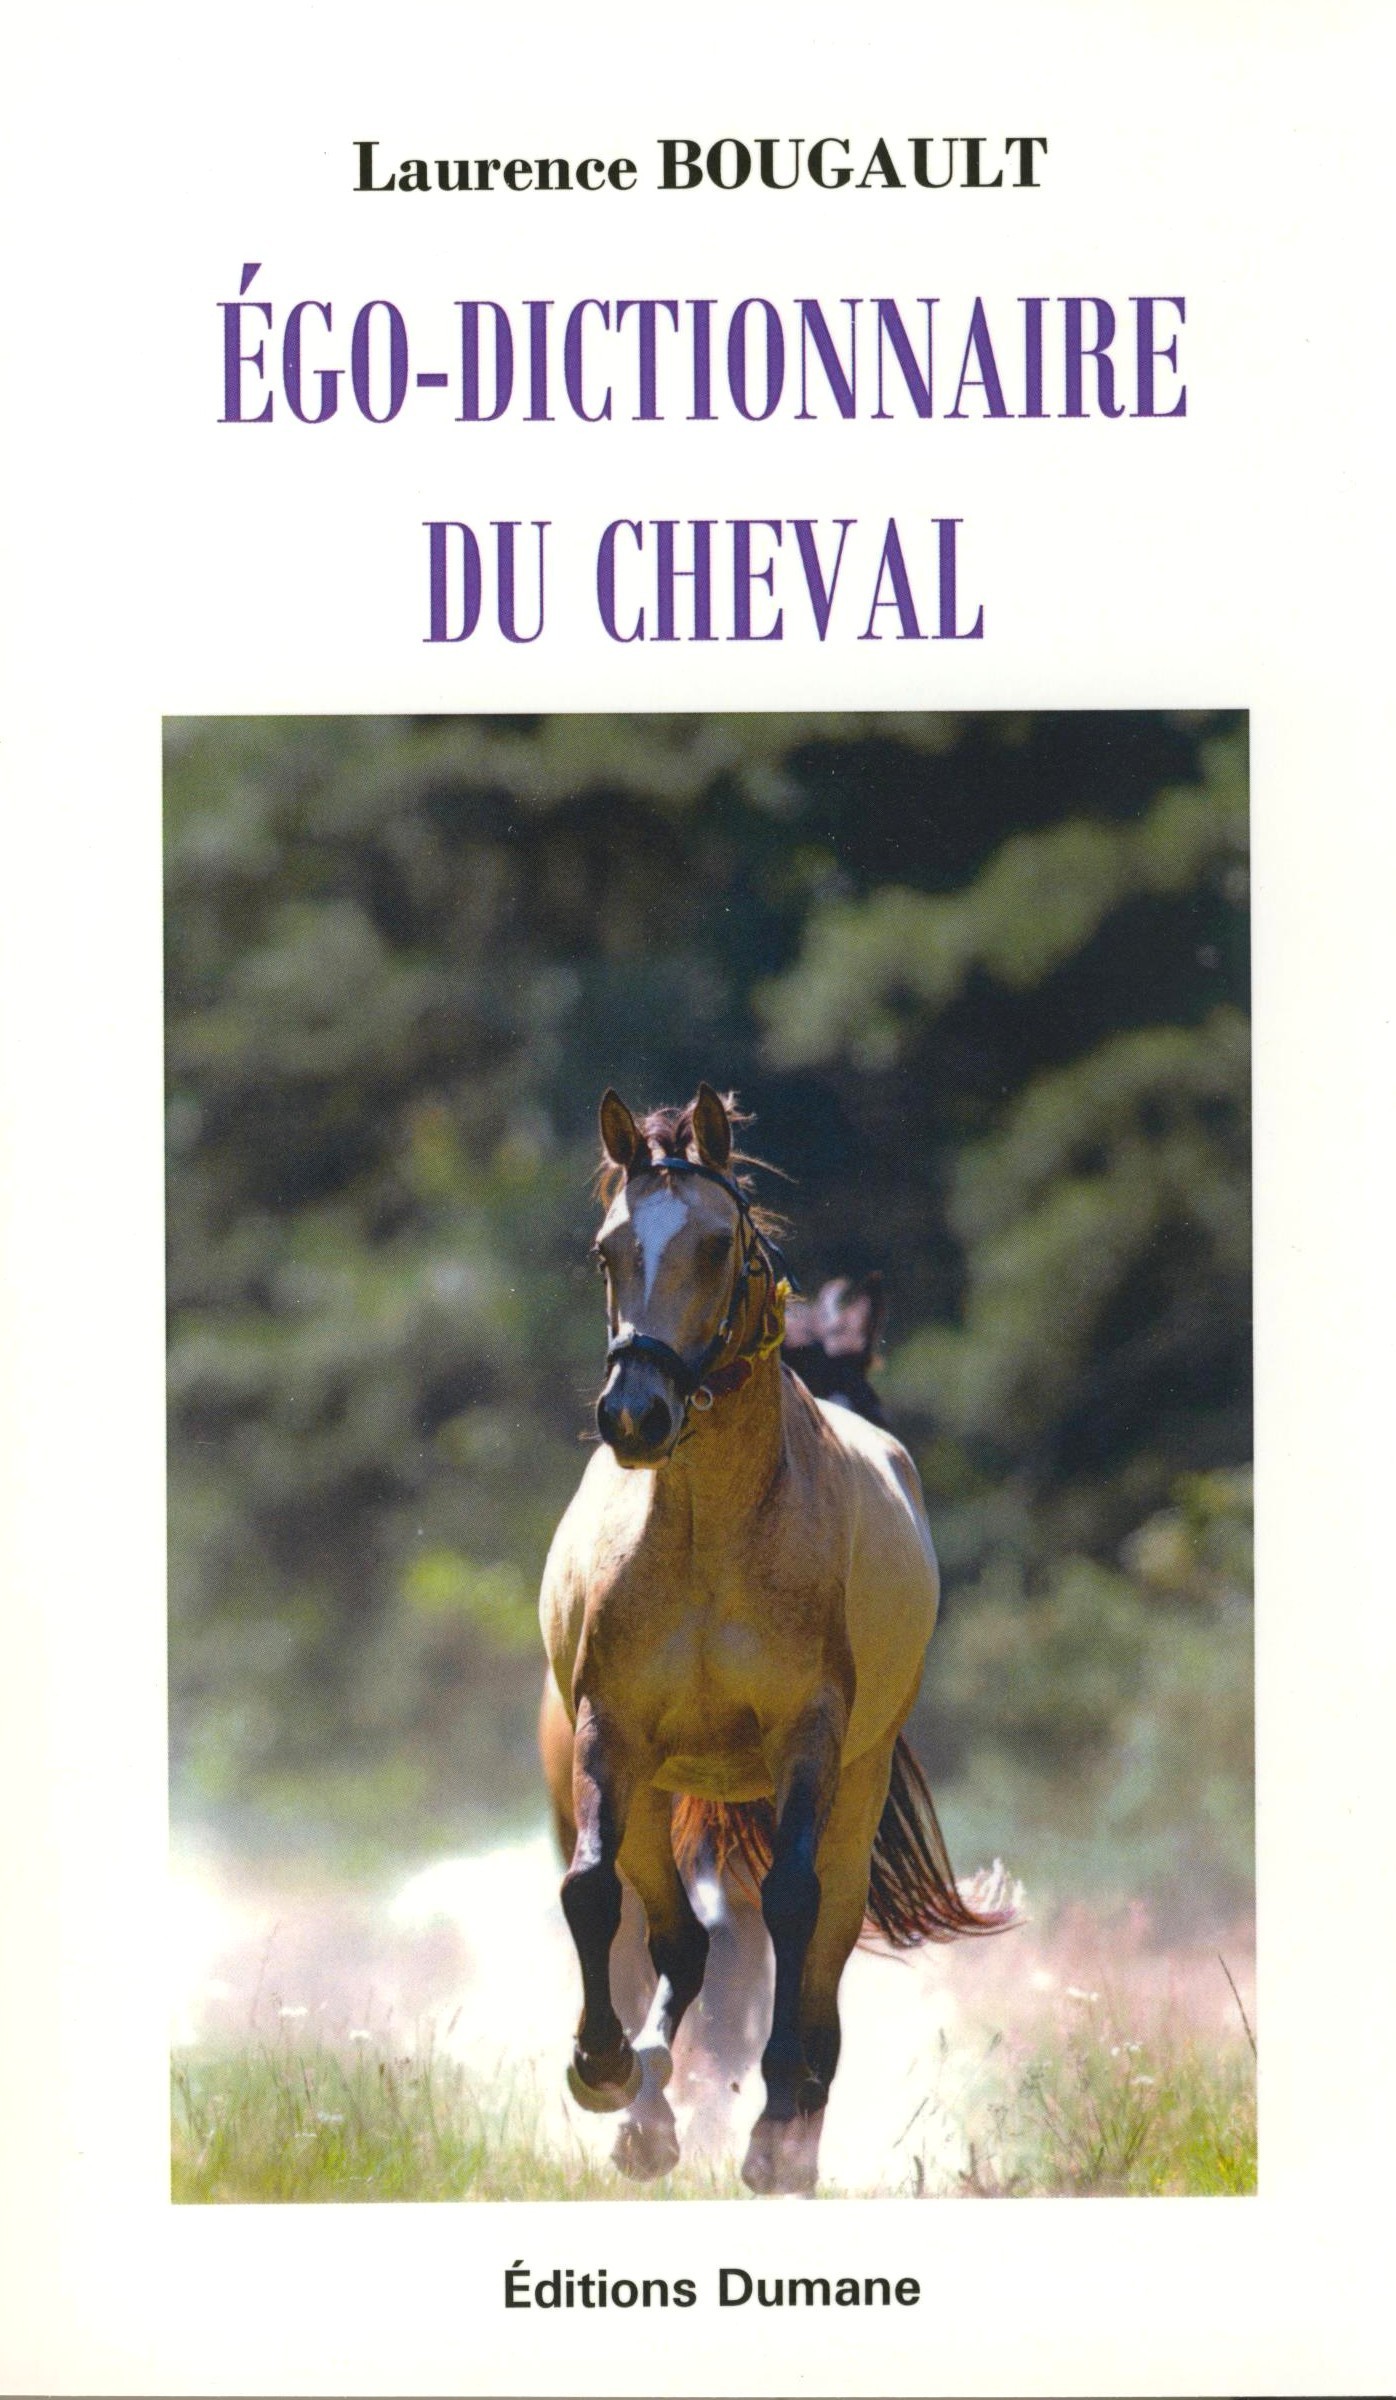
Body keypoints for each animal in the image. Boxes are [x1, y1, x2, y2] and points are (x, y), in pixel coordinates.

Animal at [538, 1084, 1010, 2194]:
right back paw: (647, 2108)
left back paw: (788, 2129)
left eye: (717, 1245)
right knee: (679, 1943)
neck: (707, 1534)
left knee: (820, 1948)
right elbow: (591, 1890)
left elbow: (794, 1909)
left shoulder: (809, 1739)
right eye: (608, 1249)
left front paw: (774, 2128)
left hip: (854, 1784)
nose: (634, 1412)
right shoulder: (611, 1733)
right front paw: (600, 2067)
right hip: (660, 1792)